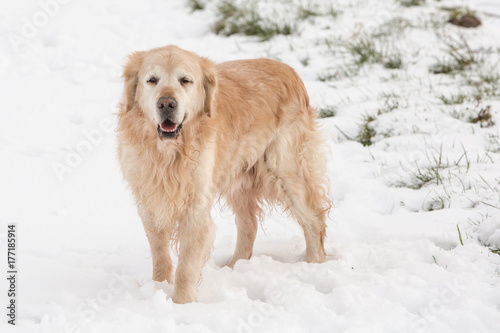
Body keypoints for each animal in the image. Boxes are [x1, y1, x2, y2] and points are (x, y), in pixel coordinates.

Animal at [117, 45, 332, 302]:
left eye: (185, 80)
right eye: (152, 80)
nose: (166, 104)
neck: (168, 154)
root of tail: (289, 70)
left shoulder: (196, 208)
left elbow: (186, 266)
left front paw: (182, 303)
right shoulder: (149, 201)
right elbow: (159, 253)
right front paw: (159, 287)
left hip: (285, 169)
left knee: (313, 218)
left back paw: (313, 265)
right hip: (239, 178)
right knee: (249, 225)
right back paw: (236, 266)